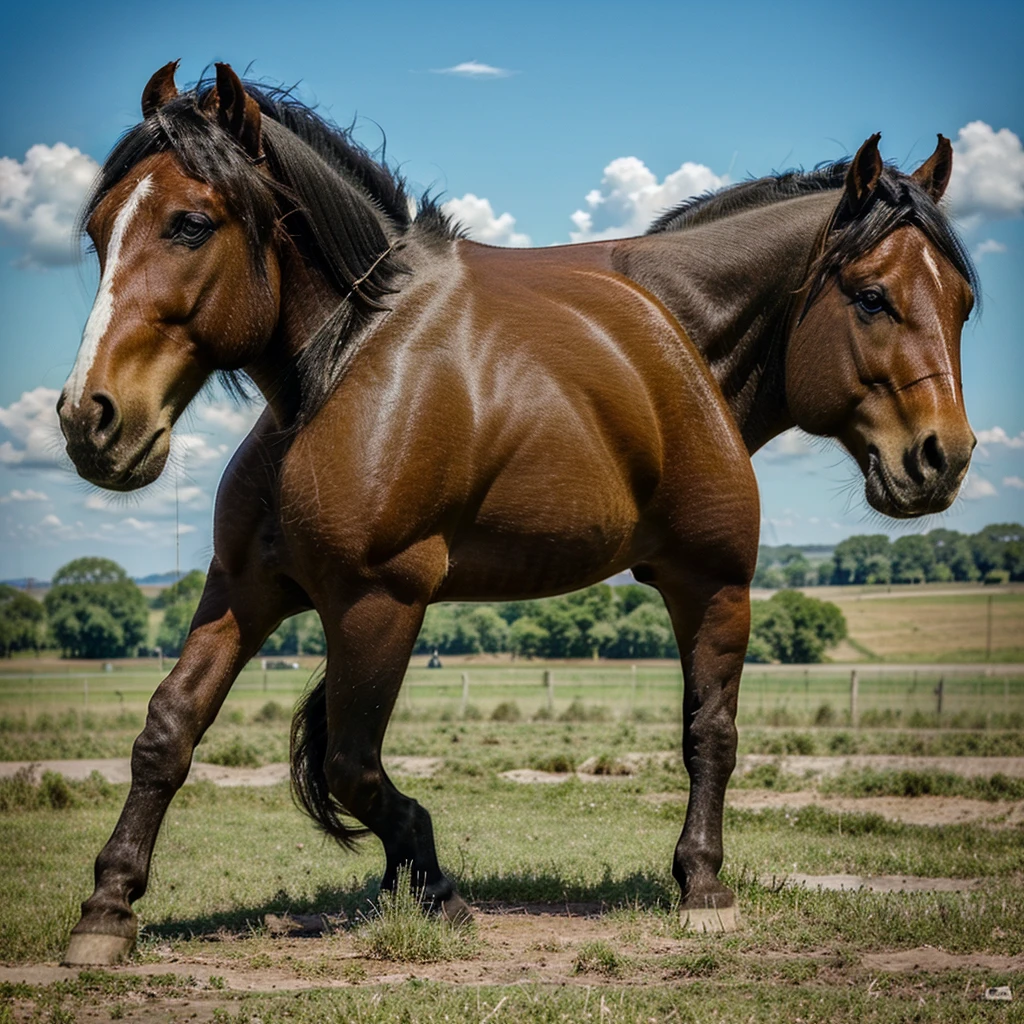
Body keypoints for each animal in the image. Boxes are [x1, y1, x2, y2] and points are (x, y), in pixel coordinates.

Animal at [56, 61, 974, 958]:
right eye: (101, 231)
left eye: (189, 224)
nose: (89, 417)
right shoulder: (248, 585)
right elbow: (171, 728)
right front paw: (108, 906)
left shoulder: (396, 598)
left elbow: (358, 763)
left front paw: (450, 883)